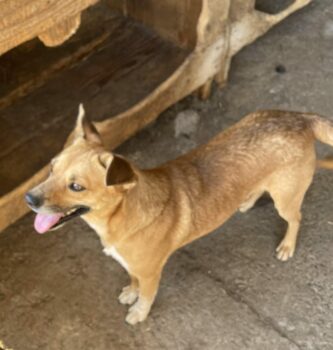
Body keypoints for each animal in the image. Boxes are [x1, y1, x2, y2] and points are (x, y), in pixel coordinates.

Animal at [25, 105, 332, 324]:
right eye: (51, 168)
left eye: (76, 187)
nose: (28, 199)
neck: (121, 217)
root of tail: (300, 118)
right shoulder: (133, 266)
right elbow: (132, 280)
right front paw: (130, 293)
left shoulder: (150, 274)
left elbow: (146, 296)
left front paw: (138, 313)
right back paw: (247, 201)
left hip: (285, 199)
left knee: (295, 218)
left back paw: (287, 245)